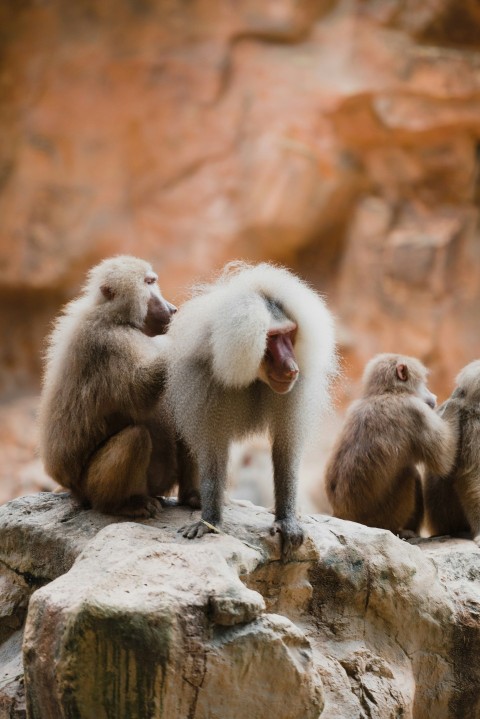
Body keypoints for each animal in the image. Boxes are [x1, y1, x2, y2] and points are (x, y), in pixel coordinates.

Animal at [38, 255, 200, 518]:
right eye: (148, 282)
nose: (173, 308)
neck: (115, 317)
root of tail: (71, 488)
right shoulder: (107, 341)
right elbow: (139, 392)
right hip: (91, 485)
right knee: (135, 437)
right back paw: (124, 504)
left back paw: (193, 497)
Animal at [165, 261, 337, 557]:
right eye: (273, 337)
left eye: (289, 334)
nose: (292, 368)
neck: (251, 375)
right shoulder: (205, 383)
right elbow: (212, 453)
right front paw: (209, 521)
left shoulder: (293, 390)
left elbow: (285, 449)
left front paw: (287, 521)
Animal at [325, 353, 455, 536]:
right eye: (423, 384)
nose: (434, 396)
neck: (387, 392)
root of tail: (343, 515)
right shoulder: (415, 410)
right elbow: (444, 462)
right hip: (383, 518)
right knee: (411, 474)